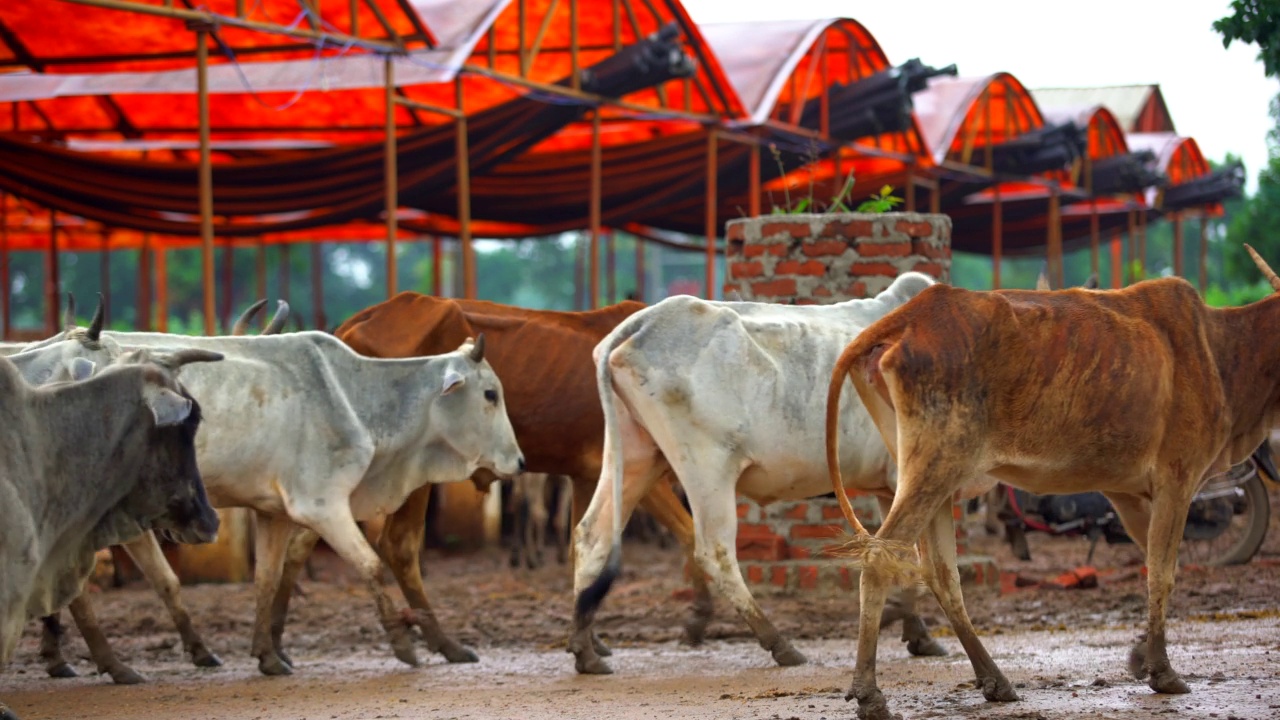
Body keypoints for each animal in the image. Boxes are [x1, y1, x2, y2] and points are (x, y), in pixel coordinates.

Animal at [570, 270, 942, 671]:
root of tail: (643, 321)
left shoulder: (890, 485)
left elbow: (897, 550)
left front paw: (917, 633)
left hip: (636, 456)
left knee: (592, 536)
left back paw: (585, 650)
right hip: (707, 468)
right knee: (714, 551)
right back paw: (779, 643)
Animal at [824, 242, 1280, 717]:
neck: (1220, 349)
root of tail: (909, 316)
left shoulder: (1129, 493)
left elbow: (1149, 563)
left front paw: (1141, 655)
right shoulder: (1178, 479)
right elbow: (1163, 572)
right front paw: (1163, 671)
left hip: (933, 478)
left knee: (942, 575)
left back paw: (995, 680)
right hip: (936, 466)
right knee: (881, 560)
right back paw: (870, 693)